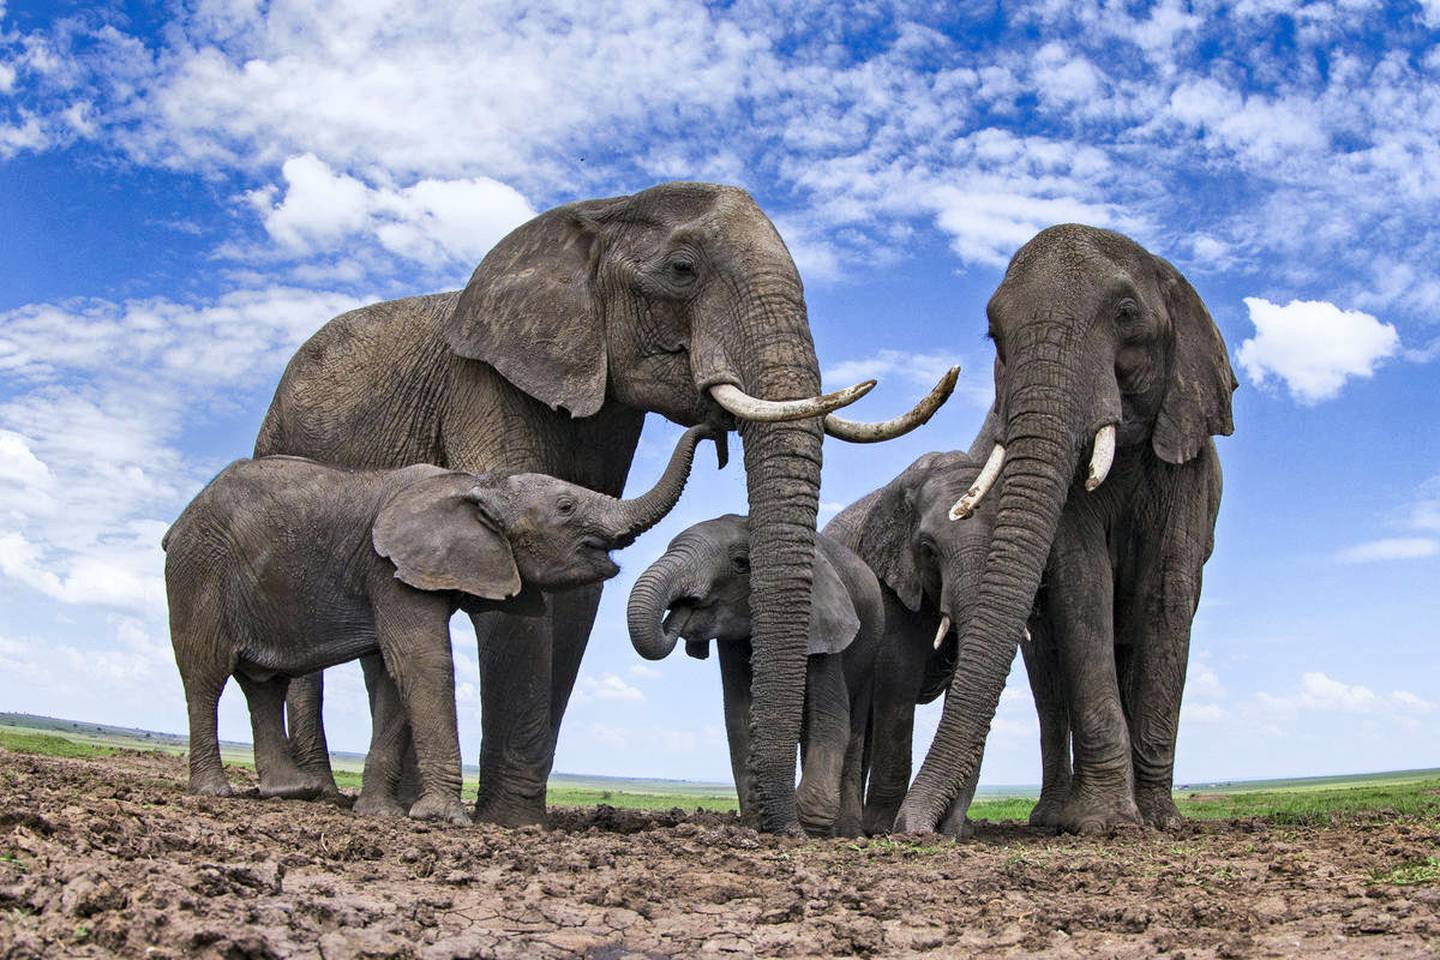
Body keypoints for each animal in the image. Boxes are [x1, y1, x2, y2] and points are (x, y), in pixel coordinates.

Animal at [163, 426, 714, 829]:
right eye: (565, 507)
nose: (712, 433)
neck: (476, 484)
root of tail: (180, 522)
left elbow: (393, 676)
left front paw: (382, 815)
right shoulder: (387, 568)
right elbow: (424, 662)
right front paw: (444, 819)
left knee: (264, 683)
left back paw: (288, 792)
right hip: (198, 571)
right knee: (204, 674)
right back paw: (214, 790)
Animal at [624, 515, 881, 834]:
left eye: (739, 563)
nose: (679, 612)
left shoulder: (824, 621)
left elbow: (831, 717)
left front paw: (808, 827)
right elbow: (739, 715)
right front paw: (756, 824)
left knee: (853, 726)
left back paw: (846, 834)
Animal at [892, 223, 1232, 834]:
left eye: (1126, 313)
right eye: (994, 334)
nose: (911, 832)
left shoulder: (1187, 454)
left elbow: (1169, 593)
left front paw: (1159, 822)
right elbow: (1083, 584)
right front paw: (1107, 824)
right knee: (1049, 682)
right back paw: (1052, 818)